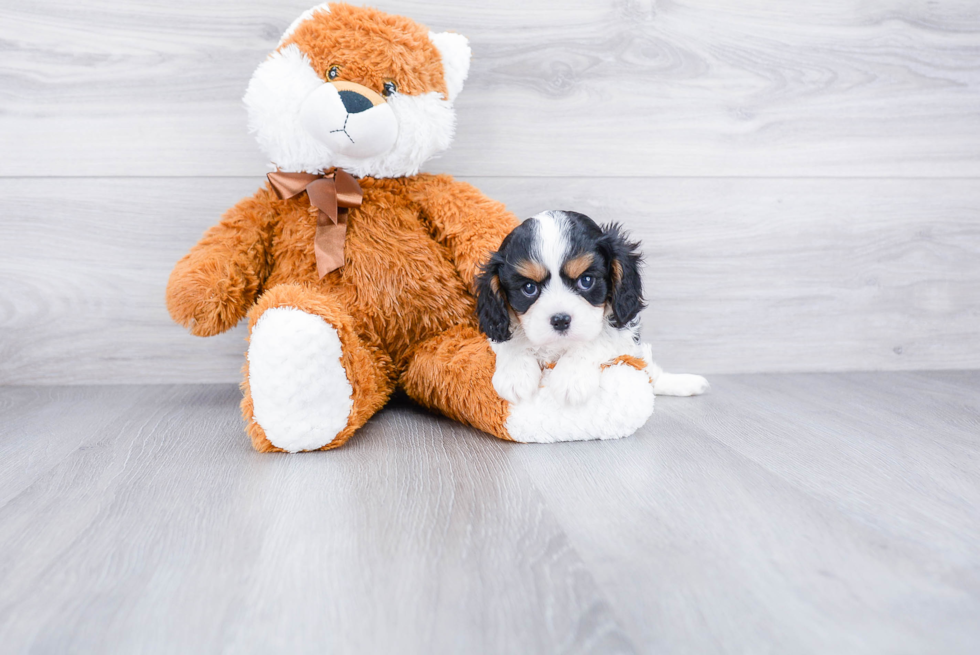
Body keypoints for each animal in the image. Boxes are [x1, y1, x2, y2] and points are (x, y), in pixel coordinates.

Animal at [472, 210, 704, 404]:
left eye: (586, 281)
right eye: (529, 288)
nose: (560, 320)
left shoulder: (622, 331)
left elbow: (596, 339)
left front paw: (571, 377)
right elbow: (513, 340)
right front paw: (515, 374)